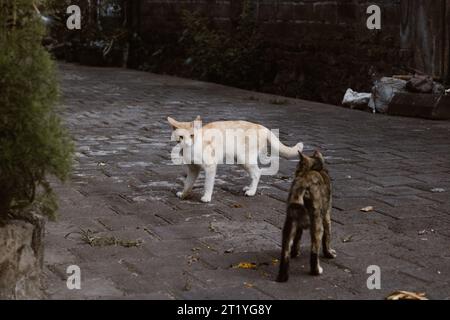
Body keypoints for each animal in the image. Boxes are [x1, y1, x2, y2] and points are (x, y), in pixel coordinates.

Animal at [168, 116, 302, 204]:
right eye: (181, 137)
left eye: (192, 136)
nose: (186, 143)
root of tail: (262, 126)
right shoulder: (193, 169)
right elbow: (188, 184)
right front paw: (183, 195)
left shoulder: (210, 167)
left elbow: (208, 184)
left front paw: (207, 197)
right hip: (240, 160)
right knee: (255, 173)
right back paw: (249, 188)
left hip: (244, 159)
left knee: (257, 172)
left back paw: (251, 192)